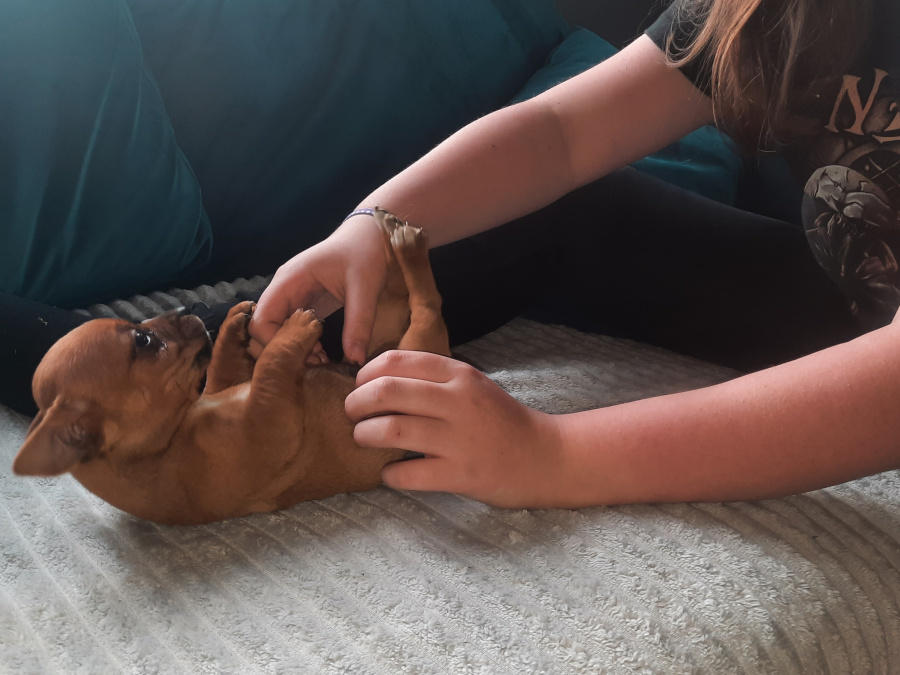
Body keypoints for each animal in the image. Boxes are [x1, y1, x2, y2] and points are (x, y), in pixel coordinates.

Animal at [12, 209, 448, 524]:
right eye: (143, 341)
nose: (188, 309)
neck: (169, 440)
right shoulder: (271, 427)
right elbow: (271, 367)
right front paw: (293, 330)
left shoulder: (225, 385)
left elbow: (225, 363)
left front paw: (235, 322)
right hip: (414, 351)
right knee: (426, 303)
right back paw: (406, 241)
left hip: (386, 338)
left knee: (395, 293)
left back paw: (389, 231)